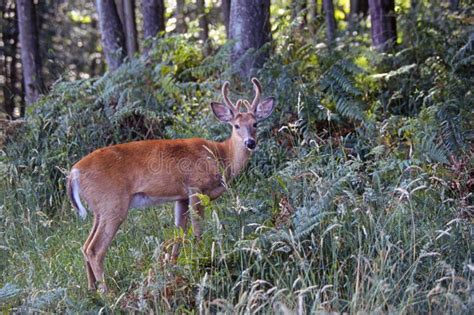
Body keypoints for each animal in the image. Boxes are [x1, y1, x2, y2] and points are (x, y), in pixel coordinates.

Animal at [65, 78, 274, 292]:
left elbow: (179, 234)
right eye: (236, 125)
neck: (221, 155)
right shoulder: (195, 187)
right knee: (94, 249)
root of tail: (74, 172)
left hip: (99, 209)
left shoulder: (180, 197)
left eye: (255, 123)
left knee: (85, 245)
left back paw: (92, 290)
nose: (250, 143)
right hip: (112, 203)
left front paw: (174, 268)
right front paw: (201, 258)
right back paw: (107, 292)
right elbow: (197, 230)